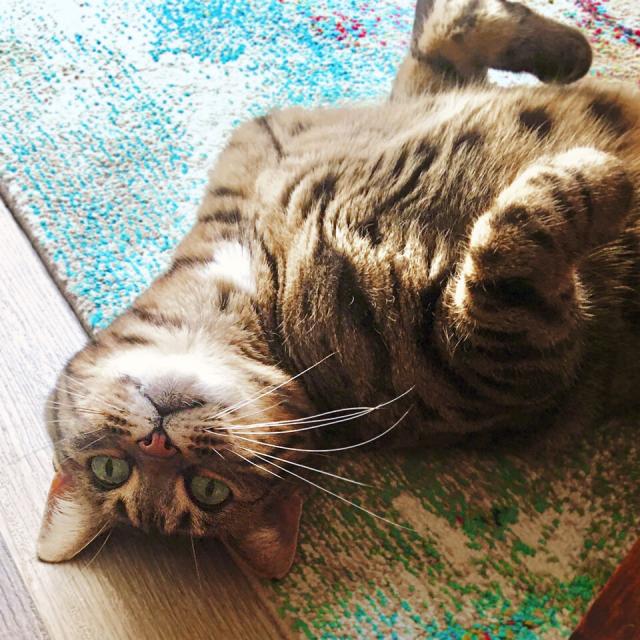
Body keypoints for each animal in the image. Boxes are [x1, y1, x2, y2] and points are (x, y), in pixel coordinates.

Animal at [36, 0, 640, 580]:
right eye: (114, 470)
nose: (157, 441)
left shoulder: (324, 122)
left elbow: (452, 30)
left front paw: (569, 52)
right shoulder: (522, 370)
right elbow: (507, 258)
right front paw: (602, 178)